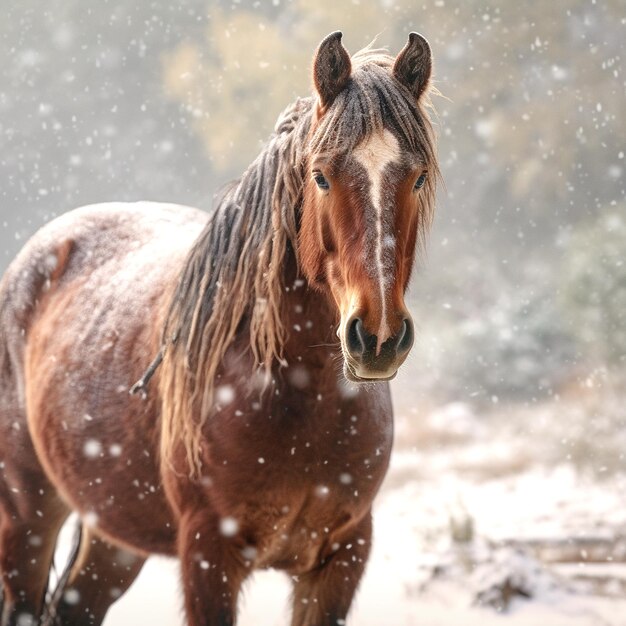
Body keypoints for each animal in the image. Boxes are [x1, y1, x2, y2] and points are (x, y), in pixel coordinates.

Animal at [0, 33, 438, 624]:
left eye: (417, 175)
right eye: (321, 175)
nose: (377, 338)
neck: (301, 393)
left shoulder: (341, 557)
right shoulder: (209, 556)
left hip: (113, 534)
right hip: (27, 516)